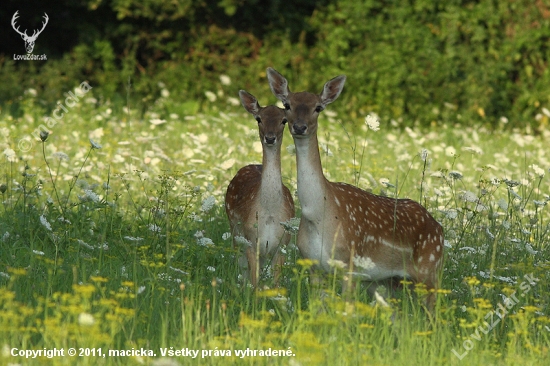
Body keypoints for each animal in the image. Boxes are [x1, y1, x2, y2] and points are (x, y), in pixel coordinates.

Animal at [224, 90, 296, 288]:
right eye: (258, 119)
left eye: (284, 120)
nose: (270, 138)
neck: (269, 214)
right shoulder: (250, 239)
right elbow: (254, 283)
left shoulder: (282, 243)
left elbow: (276, 284)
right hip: (235, 231)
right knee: (241, 267)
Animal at [266, 68, 444, 308]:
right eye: (287, 105)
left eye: (318, 107)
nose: (300, 127)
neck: (319, 215)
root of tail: (440, 229)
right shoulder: (313, 265)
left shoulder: (350, 264)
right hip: (385, 281)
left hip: (429, 270)